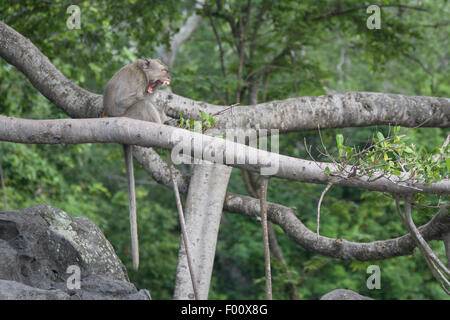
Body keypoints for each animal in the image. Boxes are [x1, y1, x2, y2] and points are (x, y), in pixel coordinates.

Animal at [103, 58, 171, 270]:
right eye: (163, 70)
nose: (168, 75)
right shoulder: (137, 82)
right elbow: (131, 99)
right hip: (132, 117)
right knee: (143, 104)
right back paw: (160, 124)